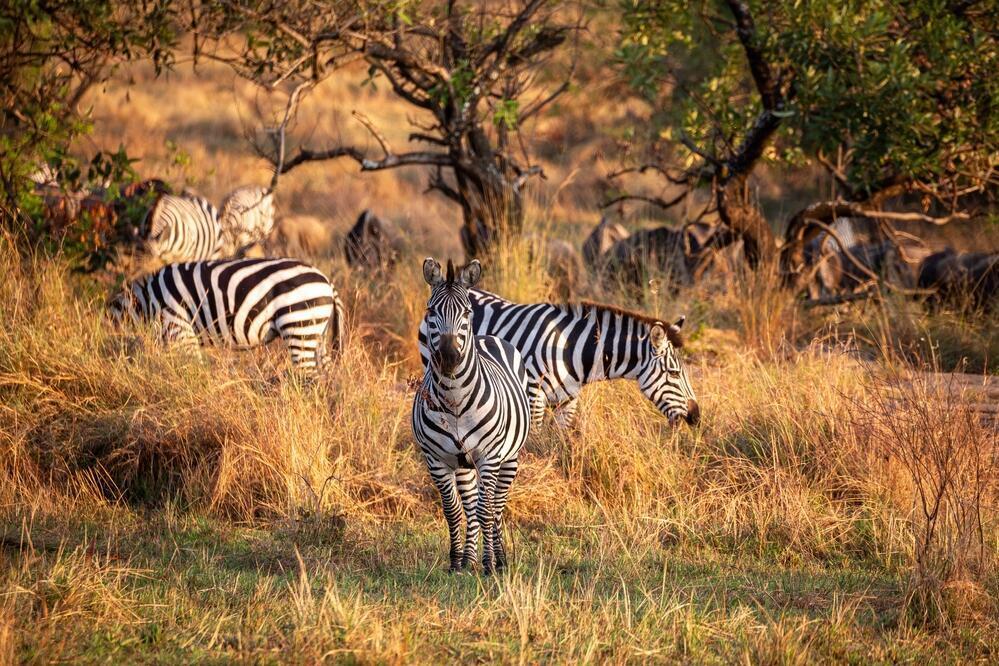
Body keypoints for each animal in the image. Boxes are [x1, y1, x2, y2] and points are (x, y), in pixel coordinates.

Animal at [109, 257, 345, 373]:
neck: (148, 302)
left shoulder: (179, 328)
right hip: (318, 334)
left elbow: (192, 371)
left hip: (299, 324)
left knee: (310, 380)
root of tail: (327, 281)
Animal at [412, 258, 531, 574]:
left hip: (509, 458)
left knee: (496, 507)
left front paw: (489, 564)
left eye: (466, 312)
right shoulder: (436, 459)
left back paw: (499, 560)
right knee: (470, 506)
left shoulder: (488, 457)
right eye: (431, 311)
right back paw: (469, 558)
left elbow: (486, 510)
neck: (454, 401)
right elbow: (453, 510)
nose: (449, 359)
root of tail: (487, 336)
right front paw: (456, 562)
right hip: (463, 463)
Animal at [419, 290, 699, 429]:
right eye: (674, 374)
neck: (572, 348)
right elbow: (534, 438)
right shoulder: (534, 395)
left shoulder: (569, 400)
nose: (696, 418)